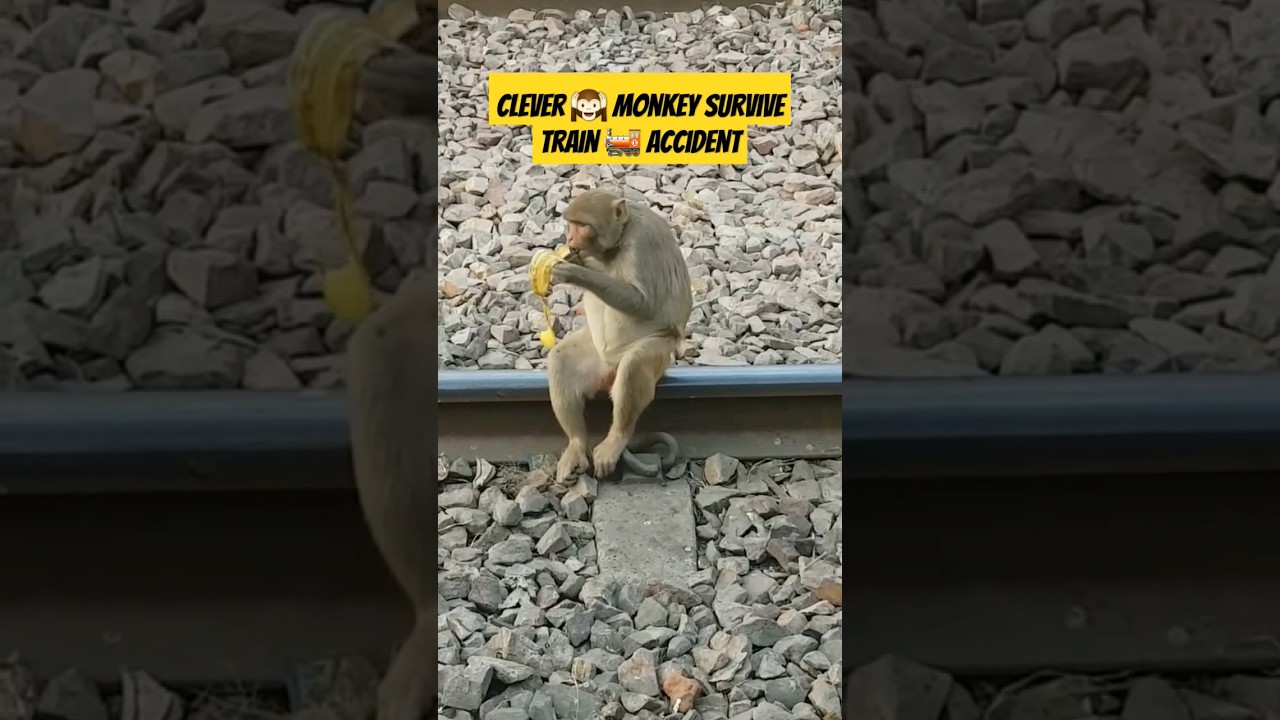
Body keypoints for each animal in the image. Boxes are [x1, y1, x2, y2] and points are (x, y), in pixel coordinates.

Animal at [547, 189, 693, 485]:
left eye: (583, 226)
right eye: (571, 224)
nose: (570, 239)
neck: (618, 242)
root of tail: (609, 370)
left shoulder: (642, 244)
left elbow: (643, 303)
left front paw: (576, 272)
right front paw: (574, 260)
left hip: (660, 350)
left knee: (635, 364)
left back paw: (617, 438)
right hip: (596, 360)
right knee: (561, 359)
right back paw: (577, 444)